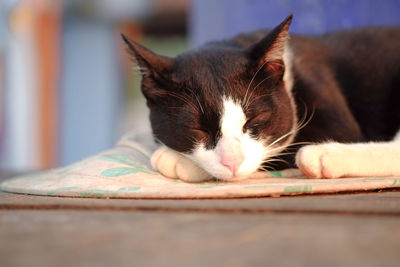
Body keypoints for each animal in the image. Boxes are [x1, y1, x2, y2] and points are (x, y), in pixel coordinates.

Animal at [121, 14, 400, 182]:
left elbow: (281, 148)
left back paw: (324, 156)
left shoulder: (336, 117)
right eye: (197, 129)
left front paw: (176, 160)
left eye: (255, 121)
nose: (233, 162)